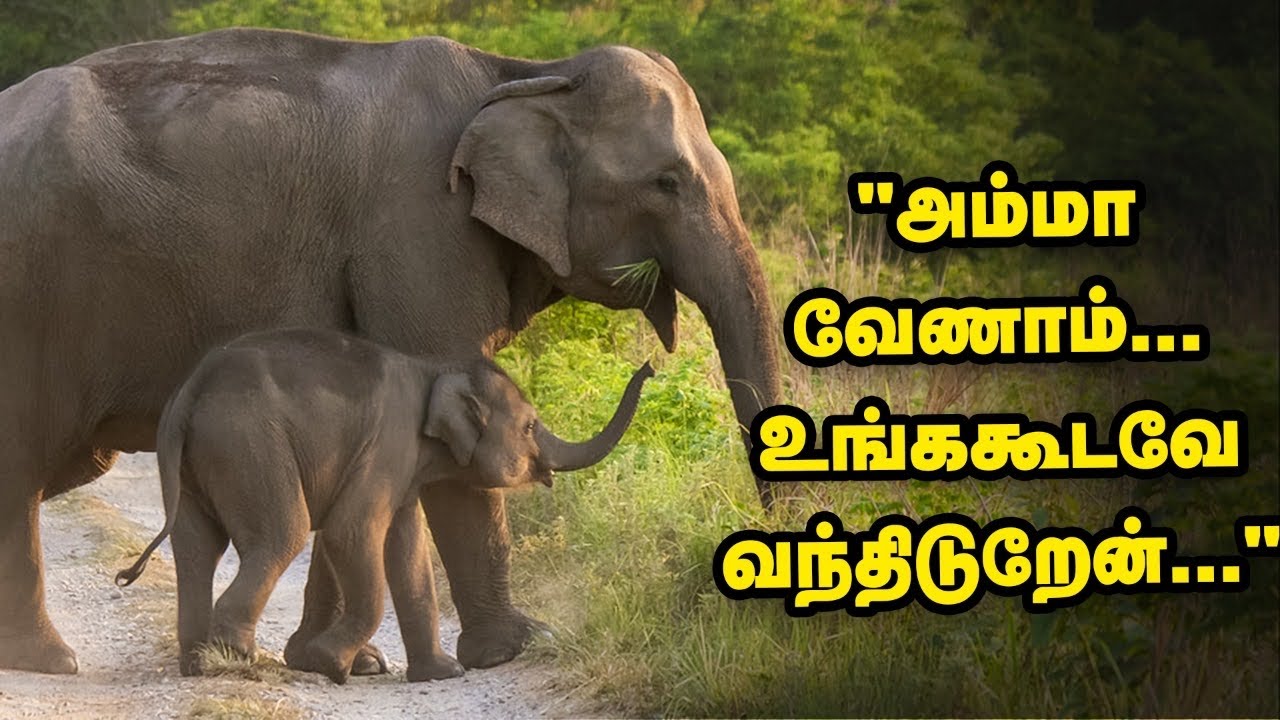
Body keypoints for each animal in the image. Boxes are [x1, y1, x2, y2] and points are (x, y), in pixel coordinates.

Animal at [111, 328, 653, 684]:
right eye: (529, 426)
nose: (648, 365)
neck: (435, 367)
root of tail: (190, 393)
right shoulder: (388, 444)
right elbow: (350, 531)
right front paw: (332, 665)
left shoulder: (405, 466)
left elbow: (407, 548)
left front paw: (442, 674)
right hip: (248, 445)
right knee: (282, 534)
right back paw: (235, 661)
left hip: (193, 459)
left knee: (196, 547)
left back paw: (196, 663)